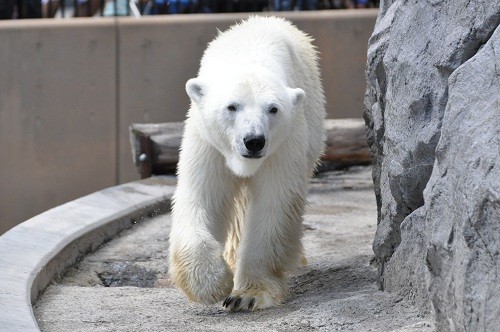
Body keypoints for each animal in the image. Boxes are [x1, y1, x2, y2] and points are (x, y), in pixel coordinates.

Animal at [169, 15, 324, 312]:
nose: (254, 141)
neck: (248, 55)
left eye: (273, 108)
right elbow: (202, 196)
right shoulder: (207, 142)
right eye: (232, 106)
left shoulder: (285, 145)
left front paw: (248, 294)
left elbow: (274, 205)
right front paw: (211, 284)